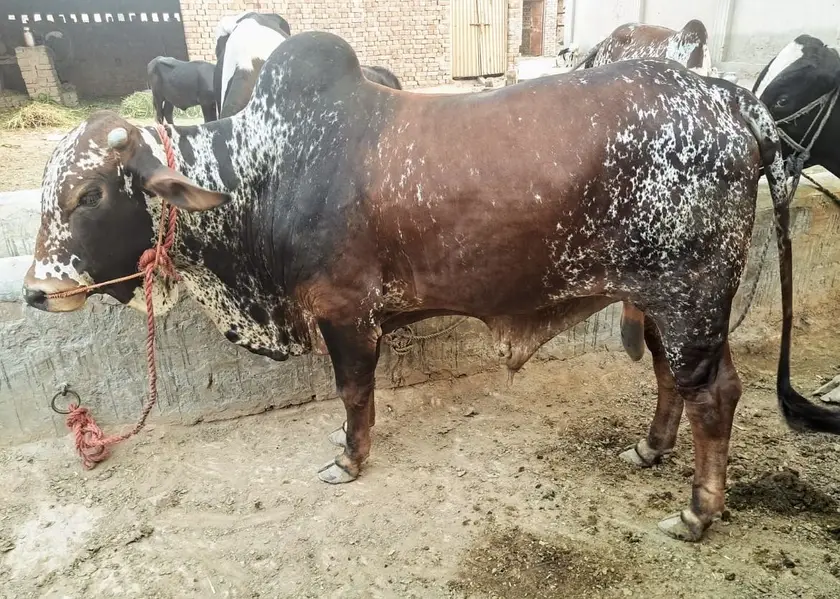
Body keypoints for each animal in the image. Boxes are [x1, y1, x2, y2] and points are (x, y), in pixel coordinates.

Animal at [21, 31, 840, 543]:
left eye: (91, 192)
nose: (34, 290)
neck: (263, 169)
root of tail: (734, 101)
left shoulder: (346, 313)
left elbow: (354, 394)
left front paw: (348, 460)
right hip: (659, 298)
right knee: (672, 378)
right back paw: (648, 450)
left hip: (692, 295)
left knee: (716, 394)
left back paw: (699, 512)